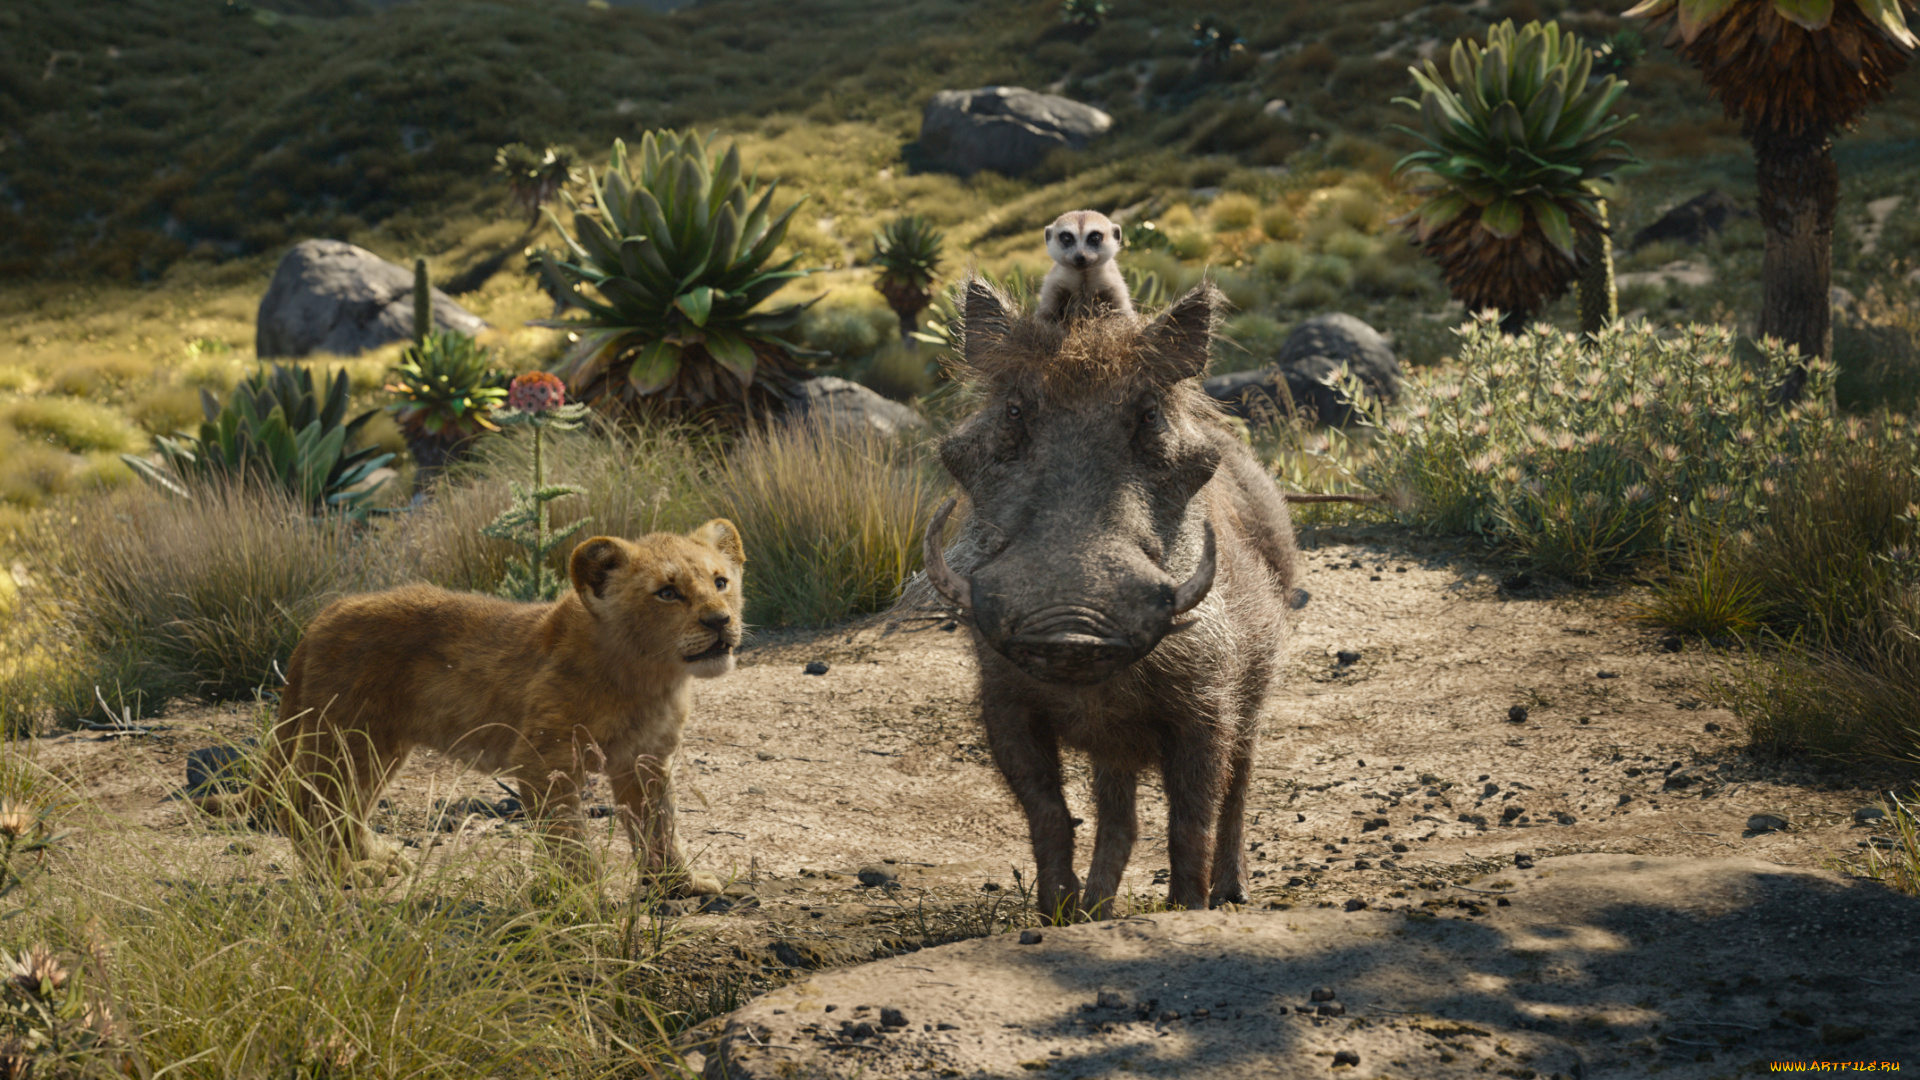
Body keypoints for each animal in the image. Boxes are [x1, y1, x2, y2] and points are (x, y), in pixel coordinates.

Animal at [199, 521, 745, 893]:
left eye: (720, 582)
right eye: (668, 592)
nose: (720, 621)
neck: (648, 676)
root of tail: (322, 616)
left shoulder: (646, 760)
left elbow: (659, 825)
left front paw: (676, 885)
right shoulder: (544, 760)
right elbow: (567, 837)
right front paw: (583, 896)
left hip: (376, 745)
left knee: (346, 805)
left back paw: (376, 858)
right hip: (344, 736)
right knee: (306, 805)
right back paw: (347, 874)